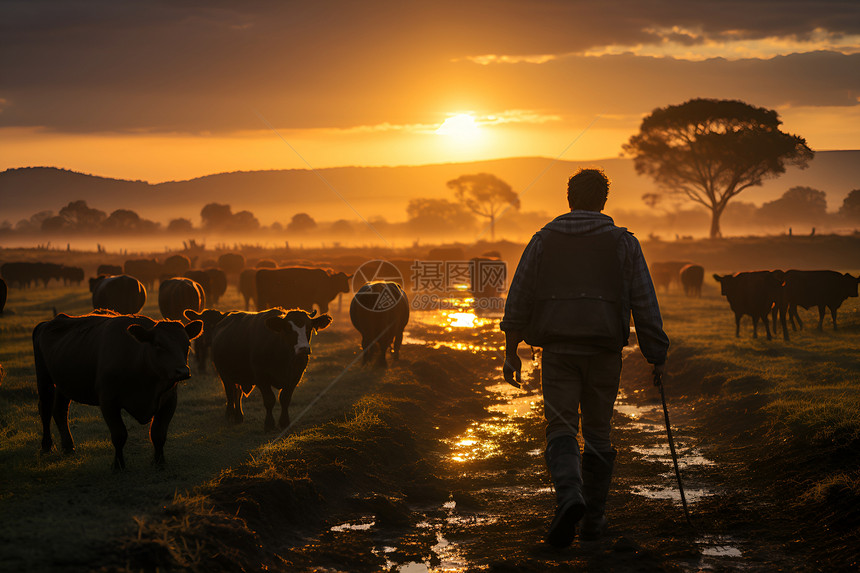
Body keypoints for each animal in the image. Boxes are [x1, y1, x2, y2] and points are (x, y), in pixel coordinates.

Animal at [31, 310, 203, 466]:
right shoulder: (108, 402)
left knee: (60, 411)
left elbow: (158, 434)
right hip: (44, 378)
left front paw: (159, 462)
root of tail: (47, 323)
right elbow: (119, 435)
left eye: (187, 344)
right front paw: (118, 464)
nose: (183, 371)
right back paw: (46, 446)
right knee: (45, 409)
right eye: (158, 345)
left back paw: (68, 447)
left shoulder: (169, 401)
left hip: (63, 383)